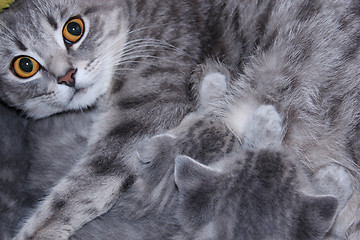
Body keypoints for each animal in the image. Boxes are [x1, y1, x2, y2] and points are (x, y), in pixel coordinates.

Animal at [0, 0, 358, 239]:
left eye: (73, 28)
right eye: (24, 66)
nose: (66, 76)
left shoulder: (146, 111)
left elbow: (77, 192)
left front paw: (37, 231)